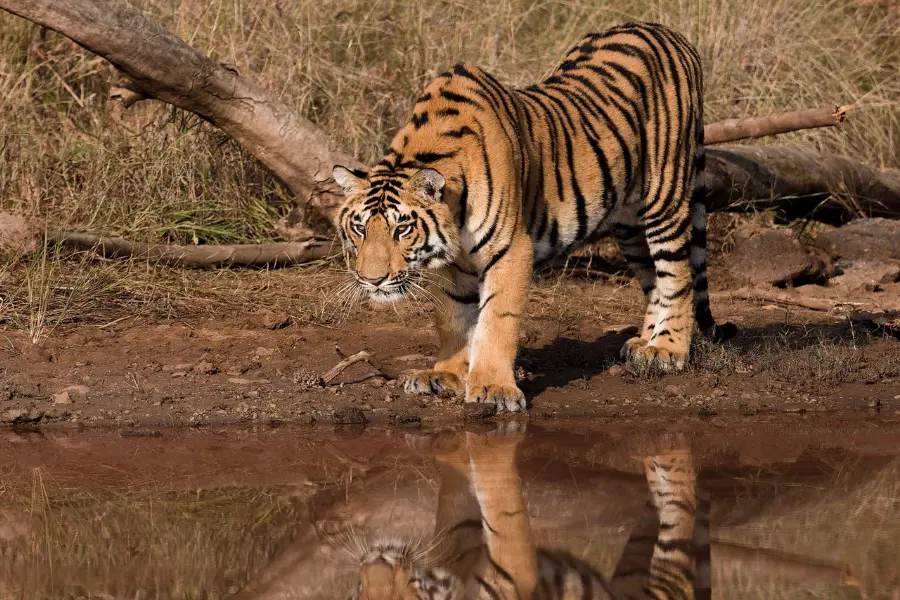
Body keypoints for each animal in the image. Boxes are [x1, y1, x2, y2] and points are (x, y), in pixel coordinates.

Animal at [332, 21, 736, 413]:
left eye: (402, 228)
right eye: (359, 228)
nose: (372, 280)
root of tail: (670, 33)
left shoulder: (510, 248)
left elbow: (497, 320)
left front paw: (493, 388)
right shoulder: (453, 263)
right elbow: (453, 319)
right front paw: (445, 375)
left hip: (665, 197)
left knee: (677, 275)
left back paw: (667, 350)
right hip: (627, 221)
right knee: (653, 277)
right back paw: (643, 343)